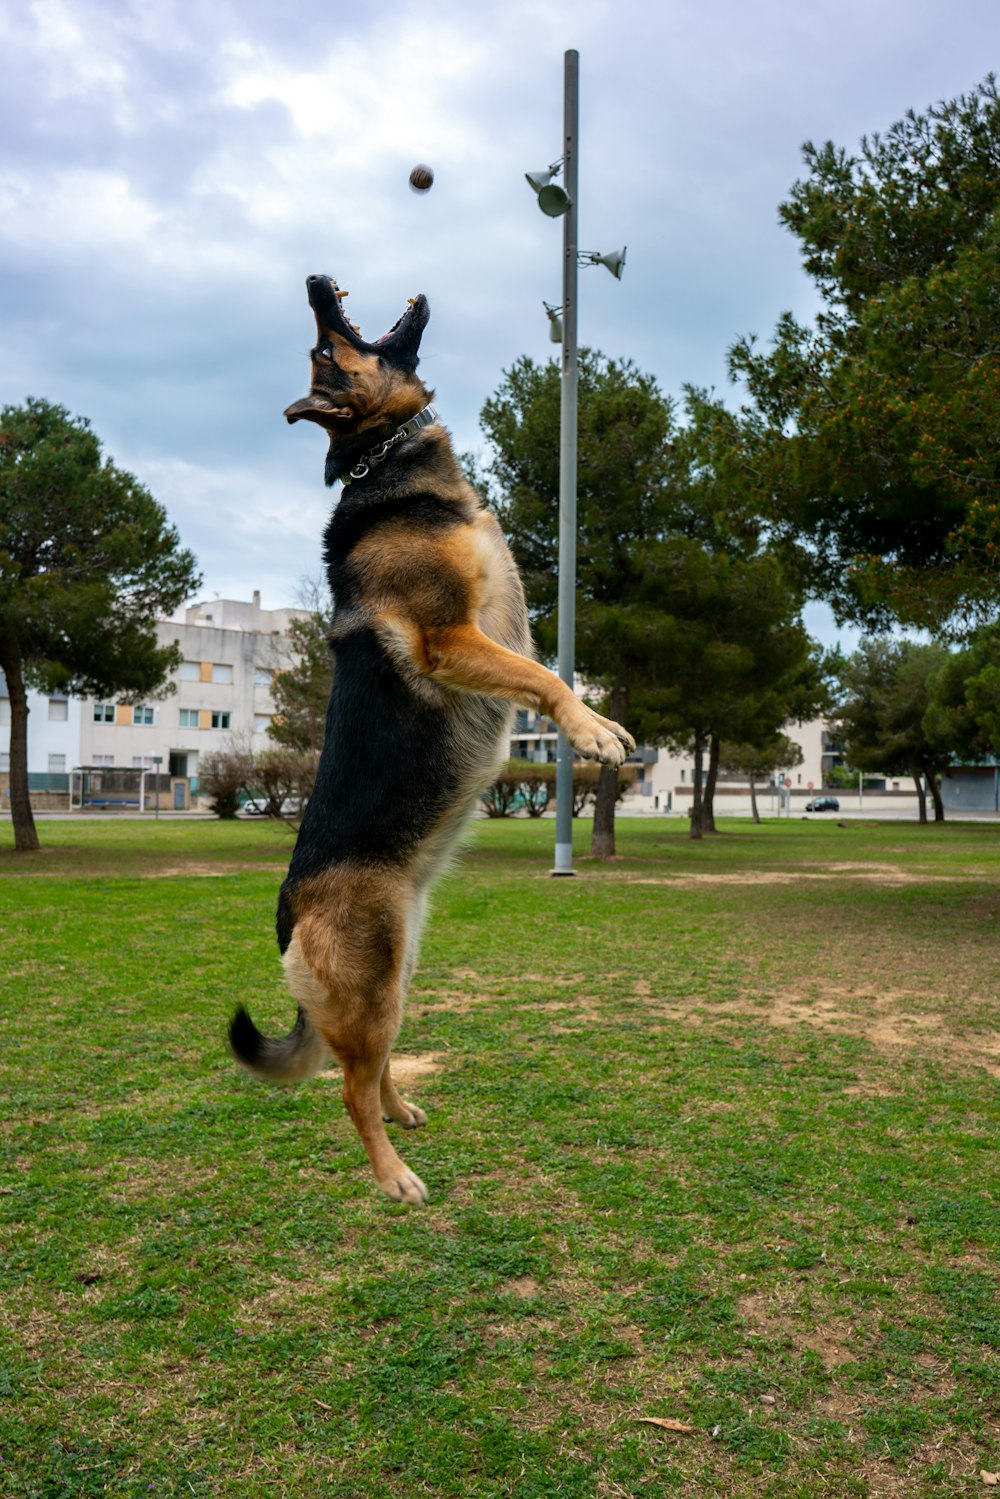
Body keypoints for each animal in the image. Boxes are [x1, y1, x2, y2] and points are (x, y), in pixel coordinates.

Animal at [229, 278, 632, 1205]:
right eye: (327, 349)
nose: (313, 281)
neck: (384, 466)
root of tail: (287, 910)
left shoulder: (497, 624)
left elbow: (549, 666)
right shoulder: (454, 637)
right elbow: (547, 681)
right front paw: (592, 730)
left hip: (398, 973)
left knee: (373, 1066)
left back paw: (404, 1111)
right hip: (376, 984)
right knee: (347, 1086)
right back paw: (393, 1175)